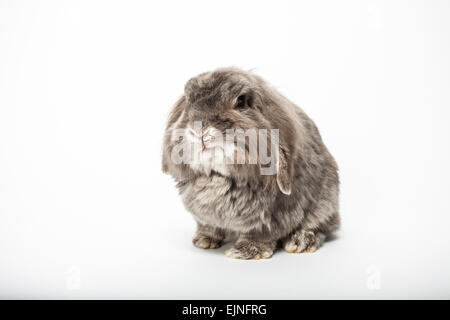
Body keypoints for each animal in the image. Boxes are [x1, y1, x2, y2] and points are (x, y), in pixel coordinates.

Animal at [160, 67, 340, 260]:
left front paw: (245, 251)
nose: (198, 130)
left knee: (322, 225)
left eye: (240, 101)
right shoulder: (204, 216)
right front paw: (204, 240)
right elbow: (208, 227)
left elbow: (261, 234)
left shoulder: (271, 217)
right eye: (188, 100)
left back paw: (302, 241)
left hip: (324, 201)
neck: (219, 177)